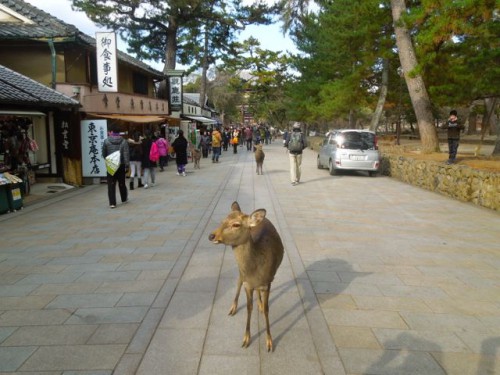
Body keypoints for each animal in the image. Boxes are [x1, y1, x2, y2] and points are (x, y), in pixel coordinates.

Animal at [208, 203, 286, 352]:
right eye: (222, 221)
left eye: (236, 224)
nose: (211, 235)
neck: (255, 270)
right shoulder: (247, 285)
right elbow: (249, 308)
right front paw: (246, 339)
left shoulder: (267, 283)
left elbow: (267, 309)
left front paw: (269, 342)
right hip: (241, 273)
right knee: (239, 279)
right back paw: (233, 308)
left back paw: (259, 304)